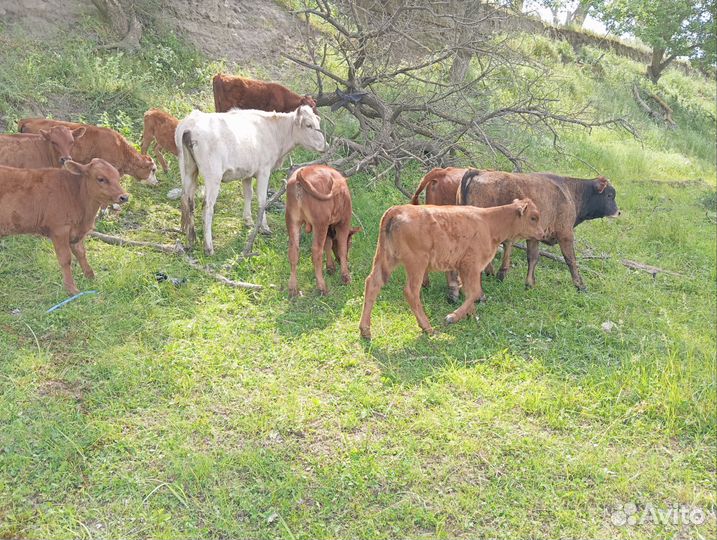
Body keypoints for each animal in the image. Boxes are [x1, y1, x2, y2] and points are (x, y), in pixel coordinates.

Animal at [0, 159, 129, 295]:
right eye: (101, 179)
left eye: (118, 177)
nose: (124, 197)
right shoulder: (59, 230)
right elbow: (65, 259)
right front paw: (71, 289)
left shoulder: (76, 233)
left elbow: (81, 253)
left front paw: (91, 277)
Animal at [176, 105, 326, 255]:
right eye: (309, 125)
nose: (325, 146)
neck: (274, 132)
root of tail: (190, 125)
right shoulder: (264, 171)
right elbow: (262, 200)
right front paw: (264, 227)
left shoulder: (247, 173)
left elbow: (248, 194)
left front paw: (248, 221)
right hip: (213, 176)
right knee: (207, 207)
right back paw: (208, 247)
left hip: (188, 170)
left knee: (187, 201)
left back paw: (190, 240)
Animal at [285, 165, 361, 297]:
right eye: (350, 243)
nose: (346, 261)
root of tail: (299, 177)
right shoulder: (343, 221)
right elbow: (341, 247)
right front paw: (345, 276)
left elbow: (328, 243)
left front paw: (330, 267)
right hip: (319, 223)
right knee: (316, 251)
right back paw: (322, 287)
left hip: (293, 220)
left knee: (293, 251)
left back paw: (293, 289)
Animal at [359, 199, 544, 339]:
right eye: (533, 217)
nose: (543, 234)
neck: (489, 223)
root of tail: (397, 210)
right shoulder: (471, 265)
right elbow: (475, 292)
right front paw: (452, 317)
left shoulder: (463, 268)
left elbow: (469, 292)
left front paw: (471, 315)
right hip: (416, 264)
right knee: (411, 292)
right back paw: (428, 328)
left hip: (386, 258)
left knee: (373, 283)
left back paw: (365, 331)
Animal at [458, 169, 620, 291]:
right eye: (609, 195)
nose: (618, 212)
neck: (571, 192)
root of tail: (478, 172)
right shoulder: (565, 234)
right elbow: (571, 260)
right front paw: (580, 286)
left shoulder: (534, 237)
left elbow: (533, 257)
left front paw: (530, 284)